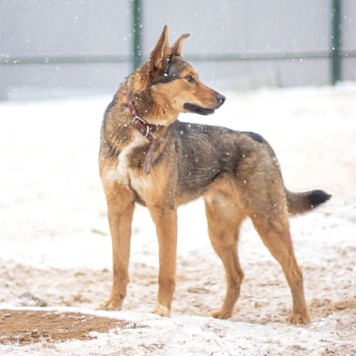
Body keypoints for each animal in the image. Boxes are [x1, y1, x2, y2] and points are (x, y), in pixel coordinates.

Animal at [98, 26, 330, 324]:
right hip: (219, 231)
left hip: (268, 221)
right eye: (189, 78)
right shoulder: (118, 207)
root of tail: (260, 139)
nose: (222, 98)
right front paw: (113, 304)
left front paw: (162, 309)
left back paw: (300, 316)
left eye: (196, 76)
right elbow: (119, 266)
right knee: (237, 274)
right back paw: (224, 314)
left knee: (294, 270)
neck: (141, 127)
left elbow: (166, 271)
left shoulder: (164, 212)